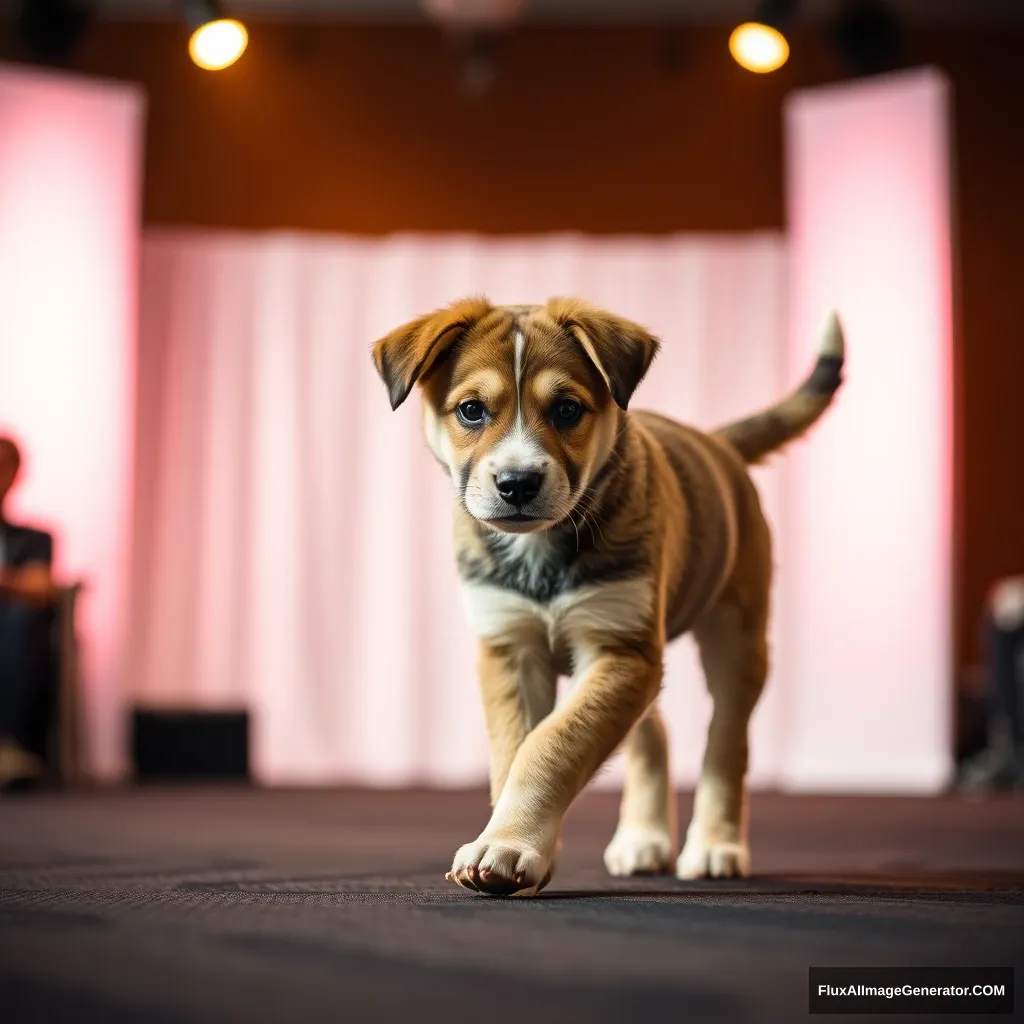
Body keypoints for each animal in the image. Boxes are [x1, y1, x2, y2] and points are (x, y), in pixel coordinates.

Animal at [372, 299, 843, 897]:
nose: (516, 483)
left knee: (726, 741)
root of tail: (717, 445)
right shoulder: (512, 648)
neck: (541, 550)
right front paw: (517, 841)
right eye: (472, 411)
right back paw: (643, 840)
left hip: (736, 634)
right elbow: (517, 750)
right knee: (654, 730)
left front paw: (510, 845)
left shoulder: (620, 647)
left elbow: (551, 745)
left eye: (568, 409)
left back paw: (715, 845)